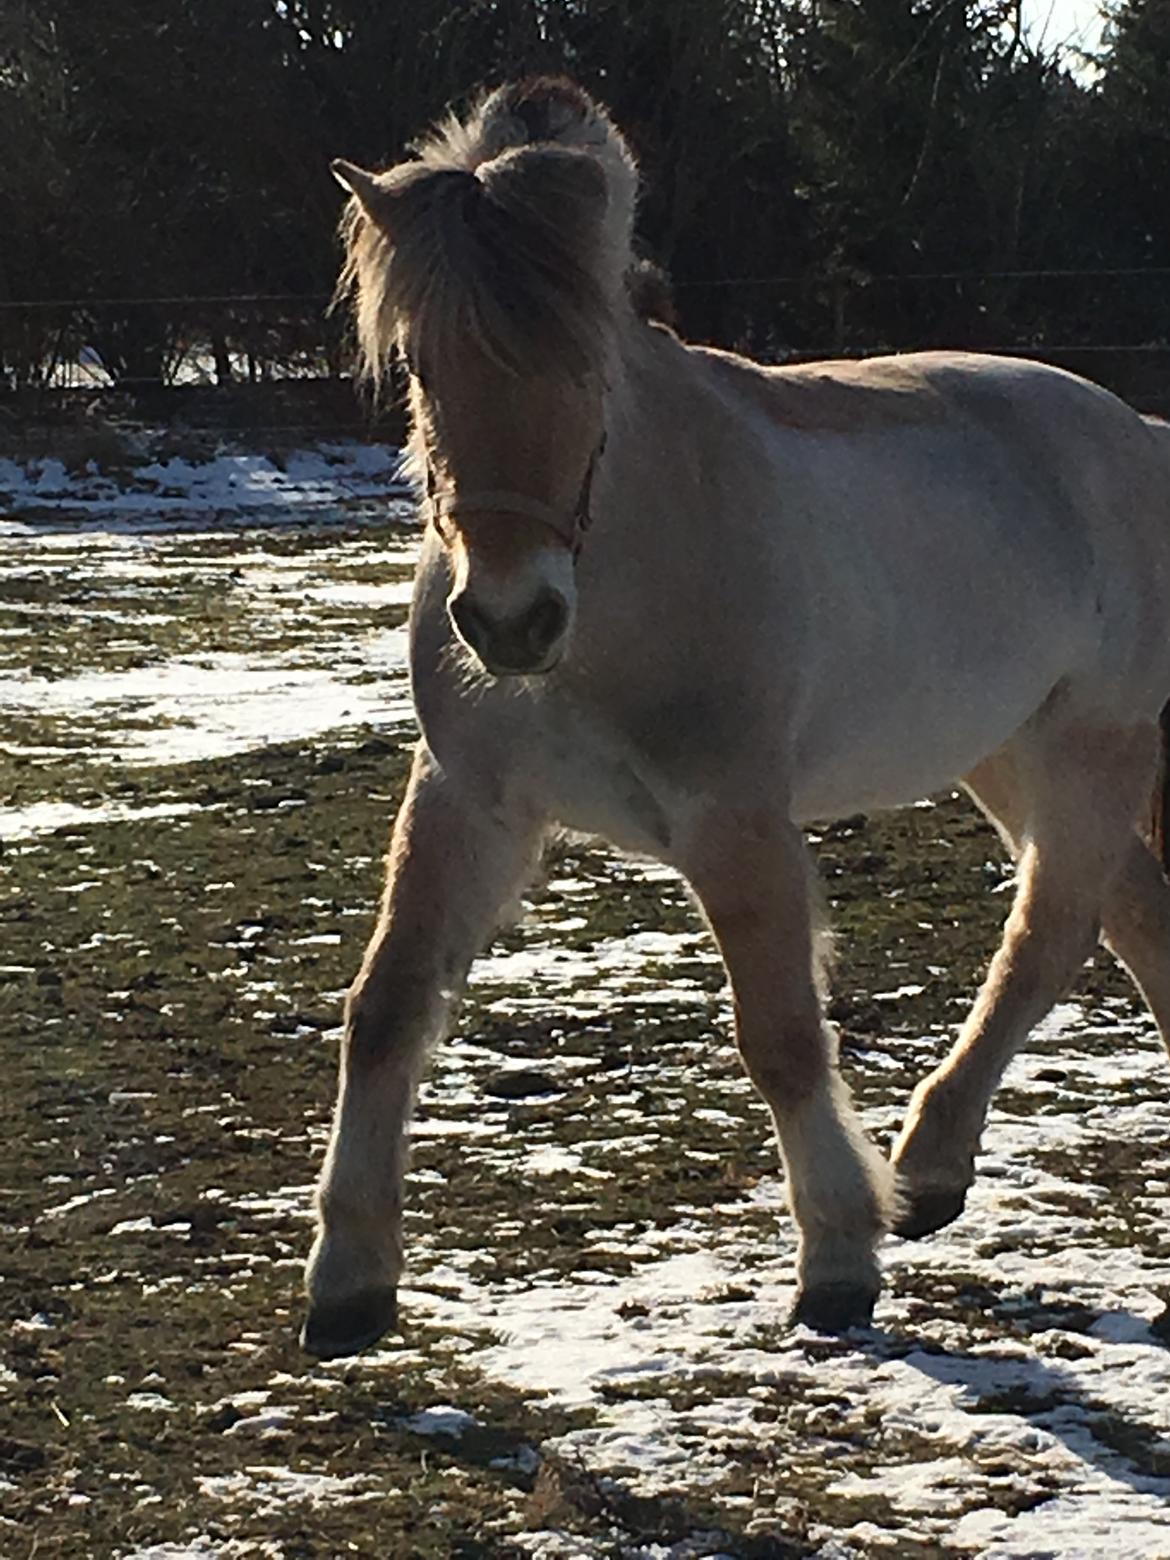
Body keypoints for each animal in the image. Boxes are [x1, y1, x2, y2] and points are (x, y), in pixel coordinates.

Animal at [299, 79, 1170, 1360]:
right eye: (416, 360)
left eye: (590, 362)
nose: (509, 620)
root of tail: (1139, 435)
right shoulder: (469, 801)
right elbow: (389, 1006)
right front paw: (348, 1283)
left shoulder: (735, 823)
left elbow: (782, 1034)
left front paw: (839, 1262)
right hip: (1005, 753)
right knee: (1133, 916)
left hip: (1086, 749)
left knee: (1051, 934)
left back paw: (928, 1166)